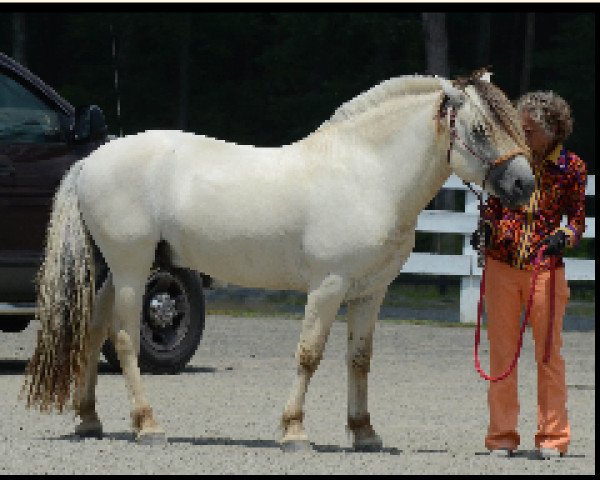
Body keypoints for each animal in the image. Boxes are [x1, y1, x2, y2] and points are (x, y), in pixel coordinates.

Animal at [21, 69, 536, 452]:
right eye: (480, 129)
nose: (524, 184)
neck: (367, 173)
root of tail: (92, 161)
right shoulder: (328, 286)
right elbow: (309, 355)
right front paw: (294, 431)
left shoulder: (370, 293)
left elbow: (359, 359)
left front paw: (364, 432)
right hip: (132, 269)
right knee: (125, 338)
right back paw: (147, 425)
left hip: (119, 270)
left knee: (92, 330)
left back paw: (89, 419)